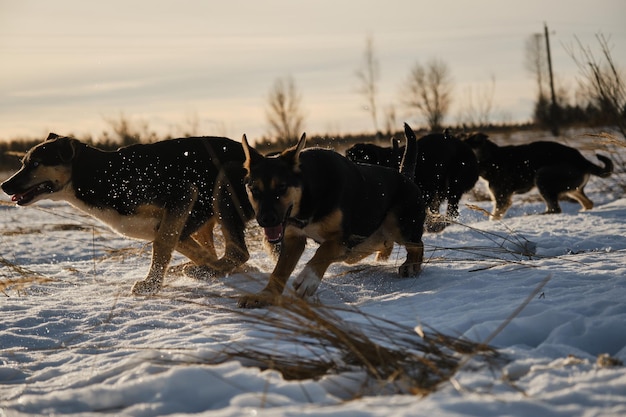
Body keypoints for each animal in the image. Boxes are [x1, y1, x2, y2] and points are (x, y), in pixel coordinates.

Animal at [0, 132, 254, 292]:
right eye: (23, 163)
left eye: (35, 164)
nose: (4, 185)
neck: (101, 175)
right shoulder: (167, 223)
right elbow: (184, 248)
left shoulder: (182, 193)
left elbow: (161, 246)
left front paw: (151, 284)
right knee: (221, 251)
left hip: (223, 190)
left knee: (238, 252)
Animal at [238, 122, 424, 308]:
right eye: (254, 190)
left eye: (282, 187)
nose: (266, 220)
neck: (309, 197)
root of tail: (407, 177)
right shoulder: (294, 239)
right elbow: (279, 271)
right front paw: (265, 295)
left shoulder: (341, 237)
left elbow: (323, 251)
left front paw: (308, 278)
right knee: (383, 245)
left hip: (398, 226)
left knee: (417, 245)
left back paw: (411, 266)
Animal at [460, 133, 612, 219]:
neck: (490, 158)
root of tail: (582, 160)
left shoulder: (502, 199)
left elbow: (495, 216)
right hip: (572, 189)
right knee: (588, 202)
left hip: (542, 177)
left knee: (555, 209)